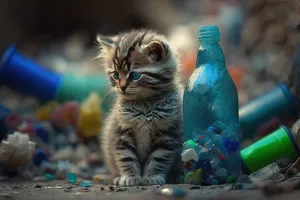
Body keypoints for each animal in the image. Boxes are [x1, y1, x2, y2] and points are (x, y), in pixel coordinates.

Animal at [98, 28, 183, 187]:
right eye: (115, 75)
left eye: (135, 75)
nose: (122, 87)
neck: (144, 105)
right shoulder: (121, 132)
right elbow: (126, 157)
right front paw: (129, 177)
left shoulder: (168, 133)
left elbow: (159, 158)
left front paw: (152, 177)